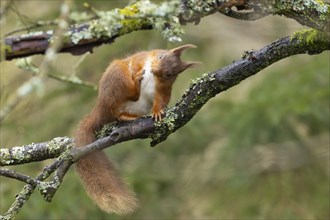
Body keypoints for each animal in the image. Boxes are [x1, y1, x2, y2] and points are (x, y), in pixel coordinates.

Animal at [74, 44, 199, 215]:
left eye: (169, 74)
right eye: (160, 56)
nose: (154, 70)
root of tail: (101, 107)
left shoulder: (164, 89)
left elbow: (161, 100)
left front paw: (158, 112)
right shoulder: (140, 58)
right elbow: (134, 63)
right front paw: (137, 72)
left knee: (120, 113)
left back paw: (131, 112)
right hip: (117, 77)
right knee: (119, 103)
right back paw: (136, 83)